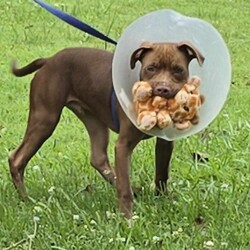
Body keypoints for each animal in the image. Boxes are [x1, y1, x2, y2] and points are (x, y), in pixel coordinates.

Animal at [9, 40, 205, 217]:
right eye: (151, 68)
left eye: (178, 69)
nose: (162, 89)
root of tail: (48, 60)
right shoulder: (123, 145)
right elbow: (124, 188)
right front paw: (127, 220)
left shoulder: (165, 142)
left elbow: (162, 175)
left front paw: (162, 202)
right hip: (45, 118)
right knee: (16, 158)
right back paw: (26, 200)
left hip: (94, 122)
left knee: (98, 158)